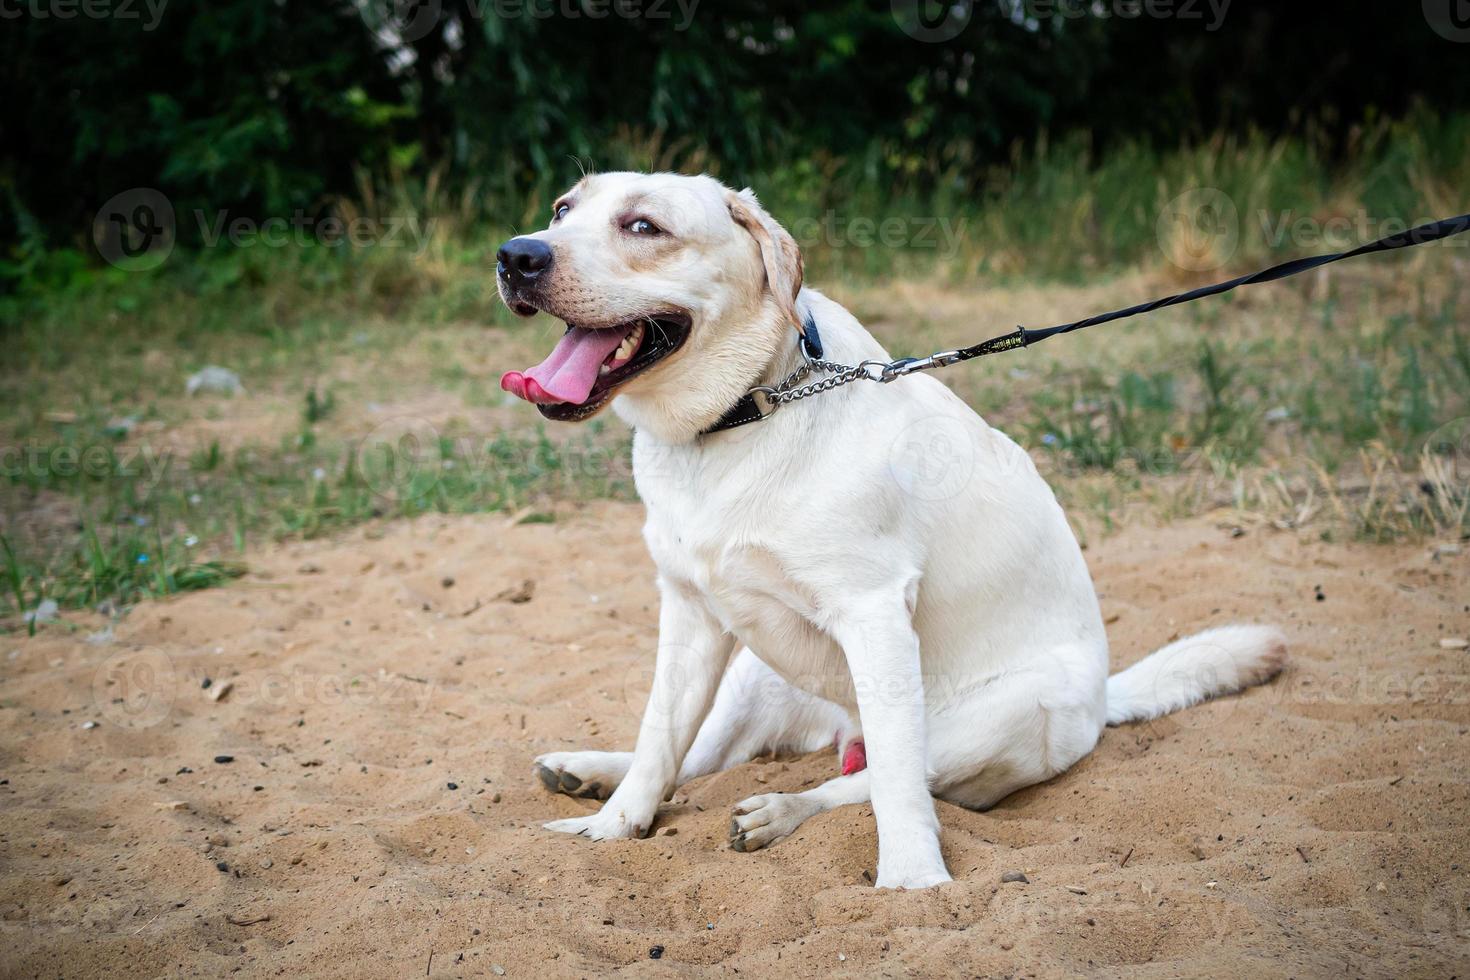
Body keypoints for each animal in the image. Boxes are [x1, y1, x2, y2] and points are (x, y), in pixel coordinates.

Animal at [496, 172, 1287, 893]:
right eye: (562, 209)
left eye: (643, 227)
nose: (516, 255)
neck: (749, 409)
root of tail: (1104, 699)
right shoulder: (692, 612)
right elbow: (660, 739)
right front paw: (613, 828)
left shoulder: (873, 612)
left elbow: (898, 785)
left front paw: (912, 881)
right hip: (753, 668)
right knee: (704, 755)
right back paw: (589, 775)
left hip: (997, 716)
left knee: (866, 778)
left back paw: (779, 811)